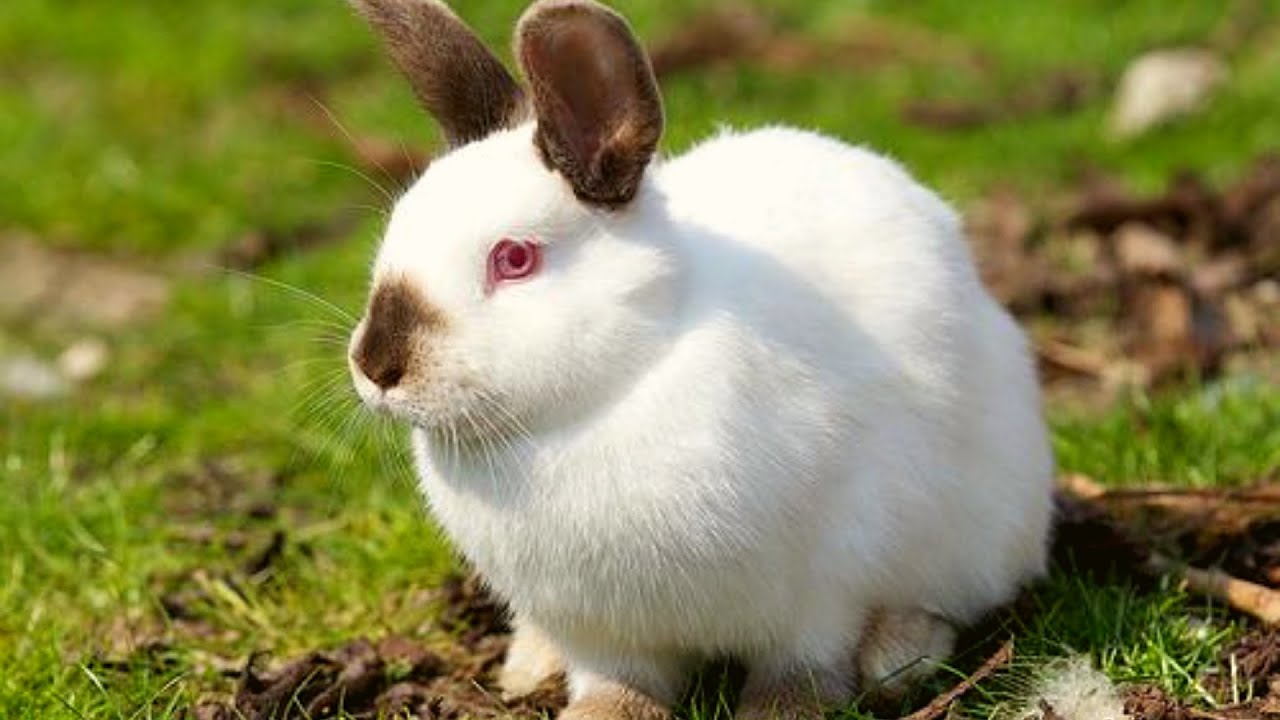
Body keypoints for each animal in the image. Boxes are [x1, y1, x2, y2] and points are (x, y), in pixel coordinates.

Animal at [345, 0, 1055, 718]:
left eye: (514, 258)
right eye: (397, 229)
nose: (377, 366)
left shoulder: (821, 589)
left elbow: (804, 665)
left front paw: (782, 710)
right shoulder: (599, 629)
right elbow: (618, 683)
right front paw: (597, 710)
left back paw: (898, 657)